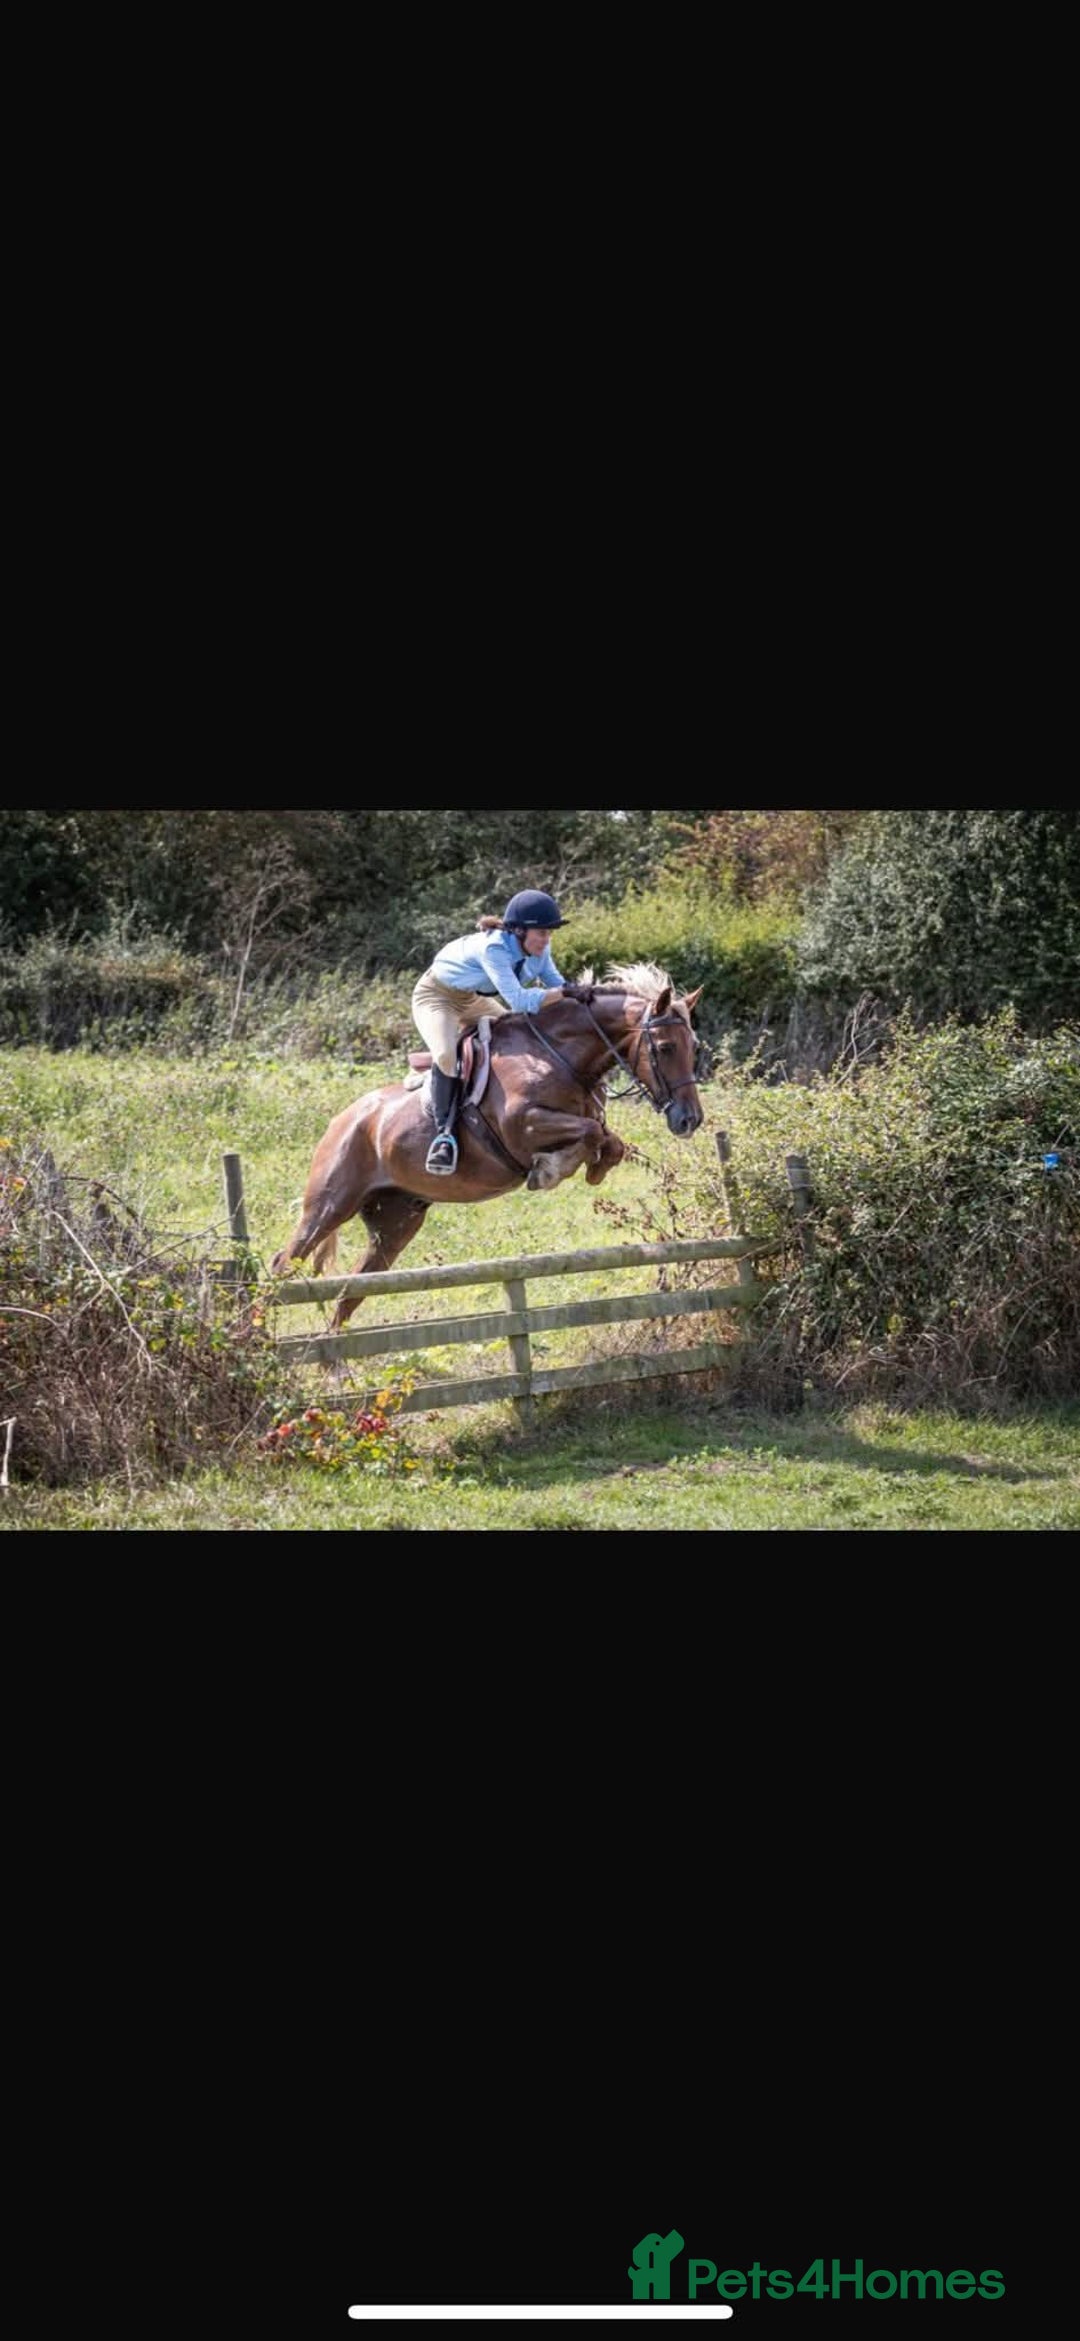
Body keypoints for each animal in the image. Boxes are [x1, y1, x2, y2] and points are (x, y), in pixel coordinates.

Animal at [270, 962, 705, 1334]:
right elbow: (589, 1134)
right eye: (664, 1047)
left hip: (395, 1224)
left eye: (694, 1046)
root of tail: (341, 1120)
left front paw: (591, 1169)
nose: (690, 1120)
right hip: (329, 1205)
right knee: (284, 1265)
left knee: (350, 1294)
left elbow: (608, 1140)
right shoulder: (521, 1127)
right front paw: (550, 1170)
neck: (558, 1054)